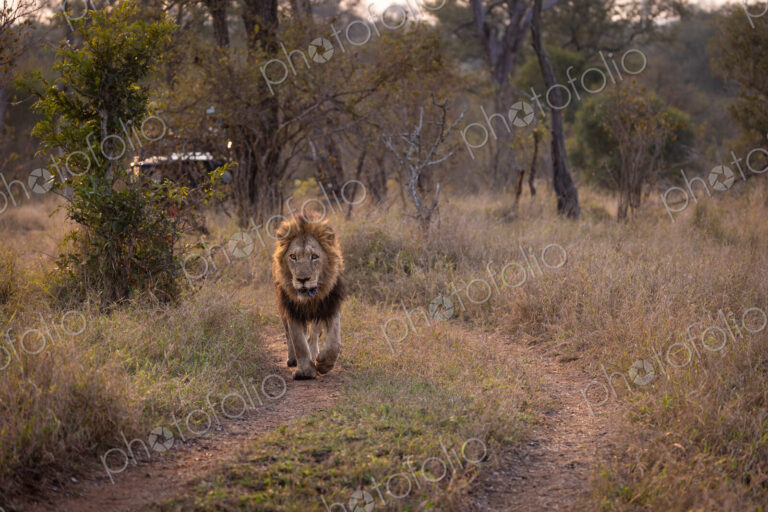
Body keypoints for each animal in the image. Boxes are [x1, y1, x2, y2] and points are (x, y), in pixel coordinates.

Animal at [272, 212, 346, 380]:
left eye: (314, 256)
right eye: (293, 256)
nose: (302, 279)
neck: (309, 300)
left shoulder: (330, 306)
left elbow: (334, 343)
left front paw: (323, 364)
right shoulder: (292, 310)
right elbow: (298, 341)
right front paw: (305, 372)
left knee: (314, 335)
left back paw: (314, 354)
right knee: (289, 335)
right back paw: (292, 359)